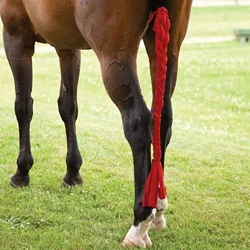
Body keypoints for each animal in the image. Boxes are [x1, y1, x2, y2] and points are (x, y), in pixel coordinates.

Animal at [0, 0, 192, 247]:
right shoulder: (67, 45)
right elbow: (68, 106)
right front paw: (72, 173)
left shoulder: (16, 35)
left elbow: (23, 106)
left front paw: (22, 172)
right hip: (168, 49)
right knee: (162, 122)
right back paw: (157, 209)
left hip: (114, 56)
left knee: (139, 122)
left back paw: (139, 223)